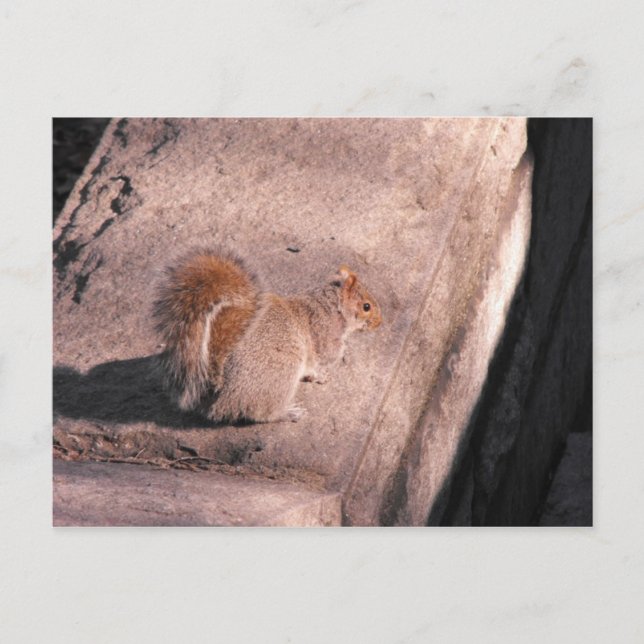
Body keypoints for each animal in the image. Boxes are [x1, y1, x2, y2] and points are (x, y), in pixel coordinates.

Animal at [152, 248, 382, 423]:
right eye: (366, 306)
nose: (380, 323)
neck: (331, 306)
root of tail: (220, 390)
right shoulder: (324, 335)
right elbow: (323, 359)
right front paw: (326, 371)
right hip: (282, 373)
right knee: (261, 413)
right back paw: (288, 413)